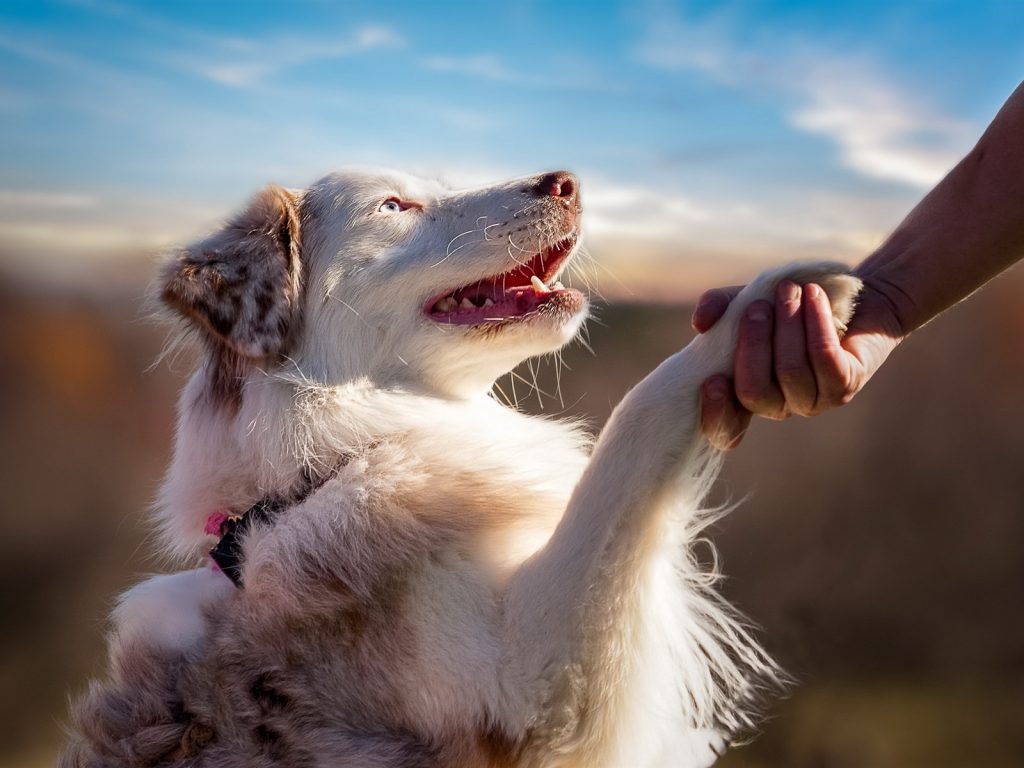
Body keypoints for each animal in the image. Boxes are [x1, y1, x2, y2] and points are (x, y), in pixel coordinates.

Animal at [61, 169, 864, 768]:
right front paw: (777, 299)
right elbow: (637, 423)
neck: (327, 467)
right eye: (394, 206)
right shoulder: (533, 693)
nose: (567, 181)